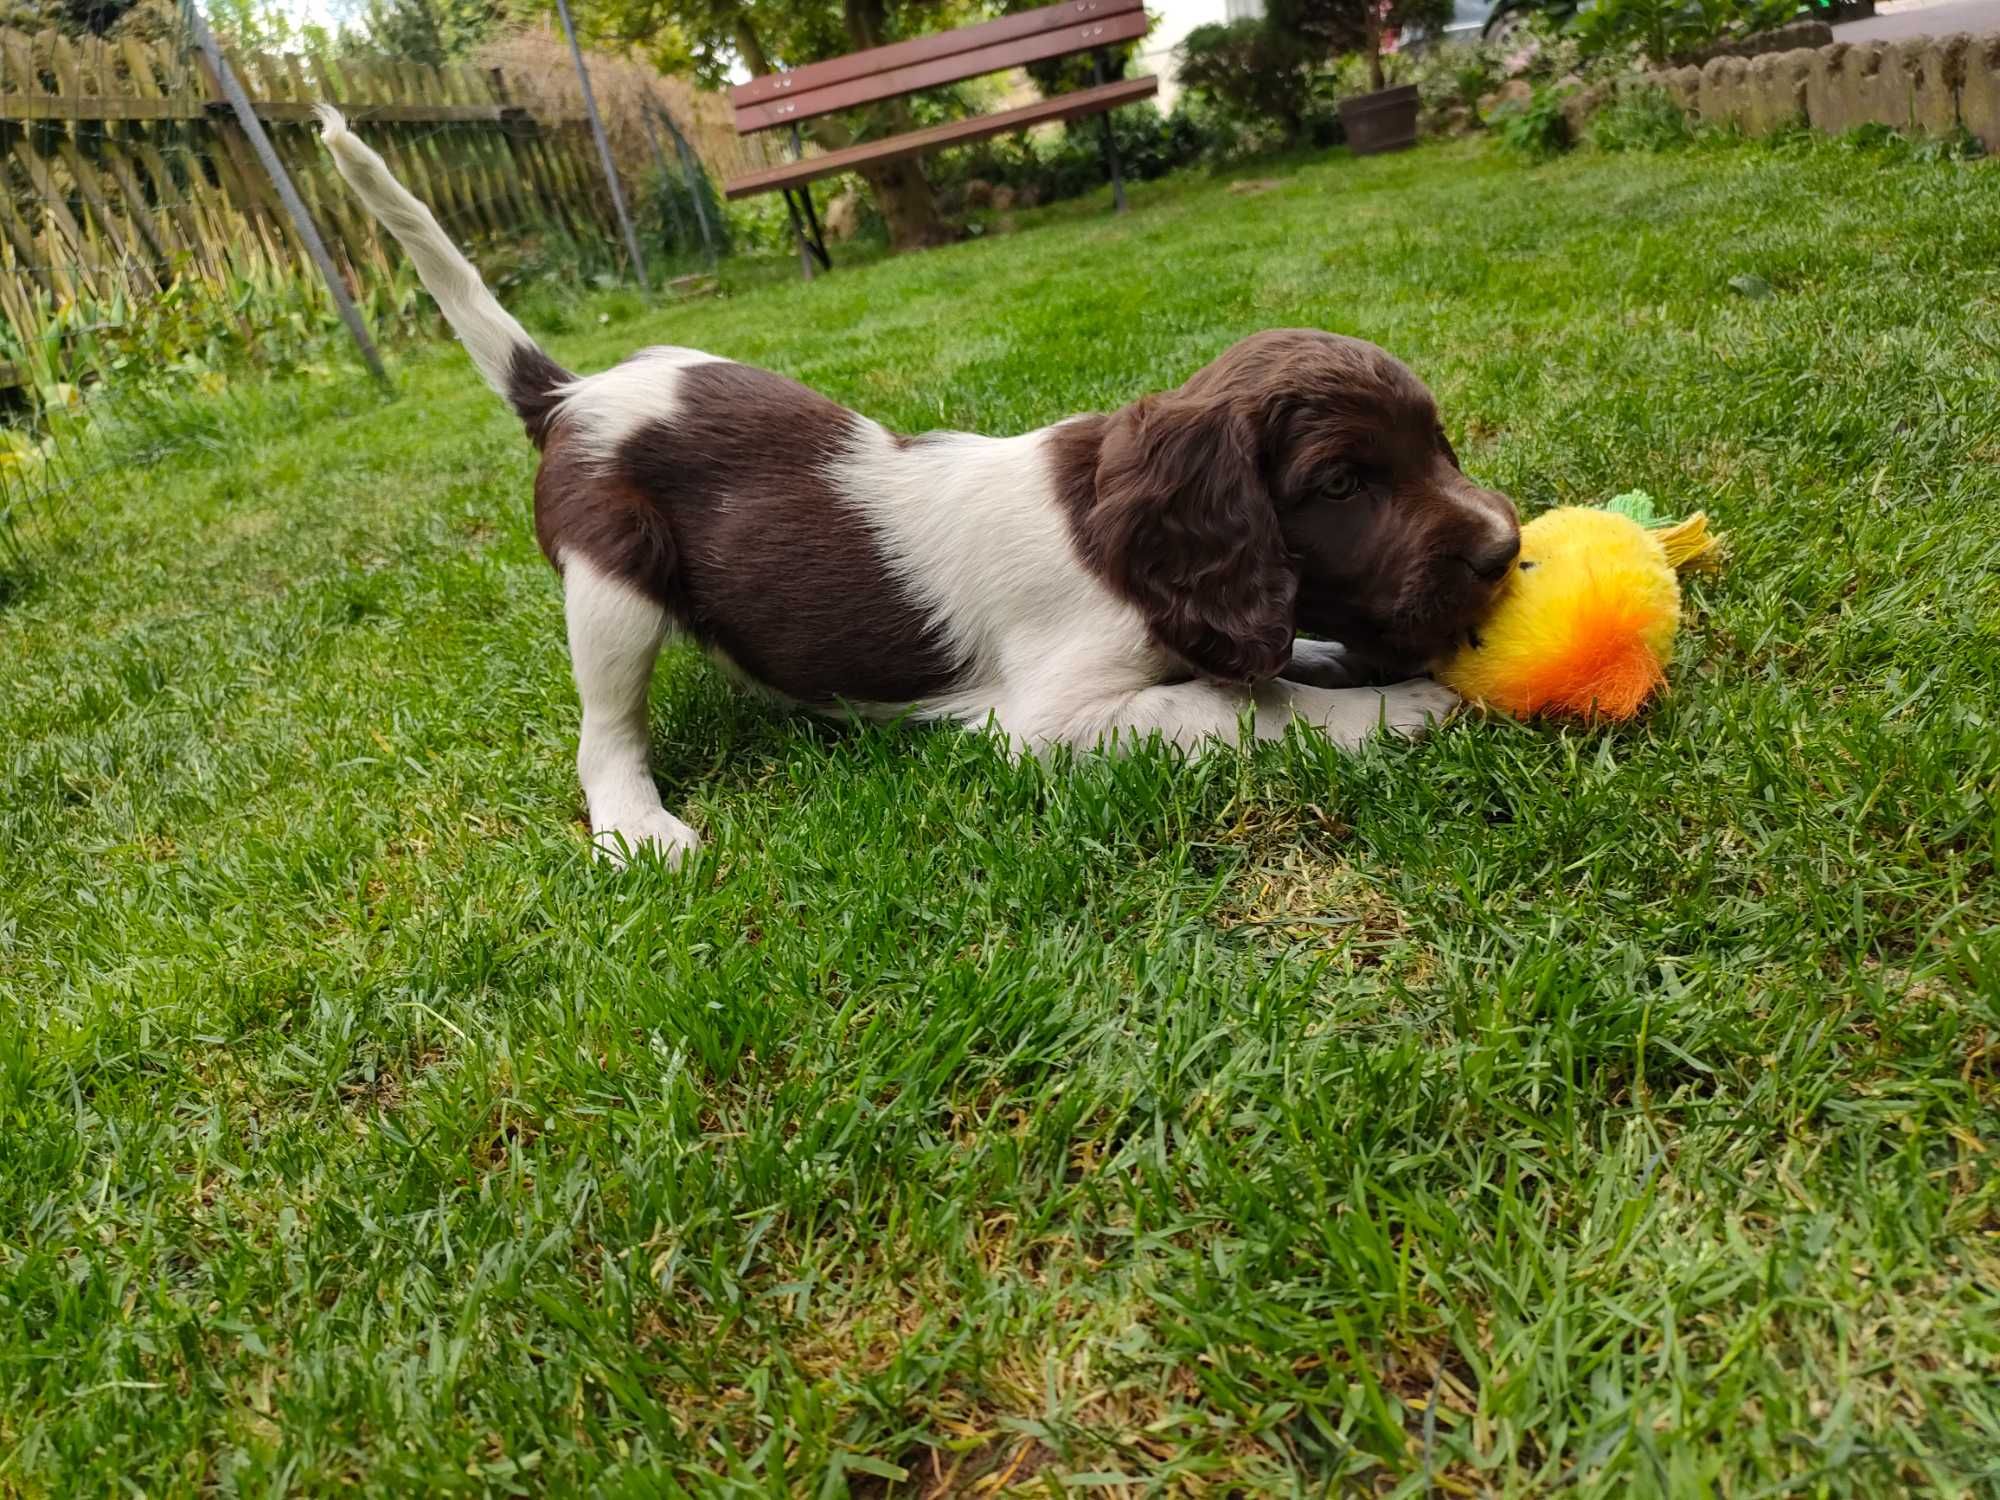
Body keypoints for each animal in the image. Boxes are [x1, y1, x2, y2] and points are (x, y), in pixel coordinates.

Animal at [320, 108, 1520, 868]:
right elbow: (1242, 711)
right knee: (604, 733)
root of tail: (572, 391)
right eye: (1341, 482)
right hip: (611, 579)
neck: (1119, 537)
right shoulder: (1055, 722)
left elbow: (1267, 662)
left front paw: (1343, 662)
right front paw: (1401, 706)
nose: (1506, 552)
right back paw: (639, 830)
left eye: (1439, 447)